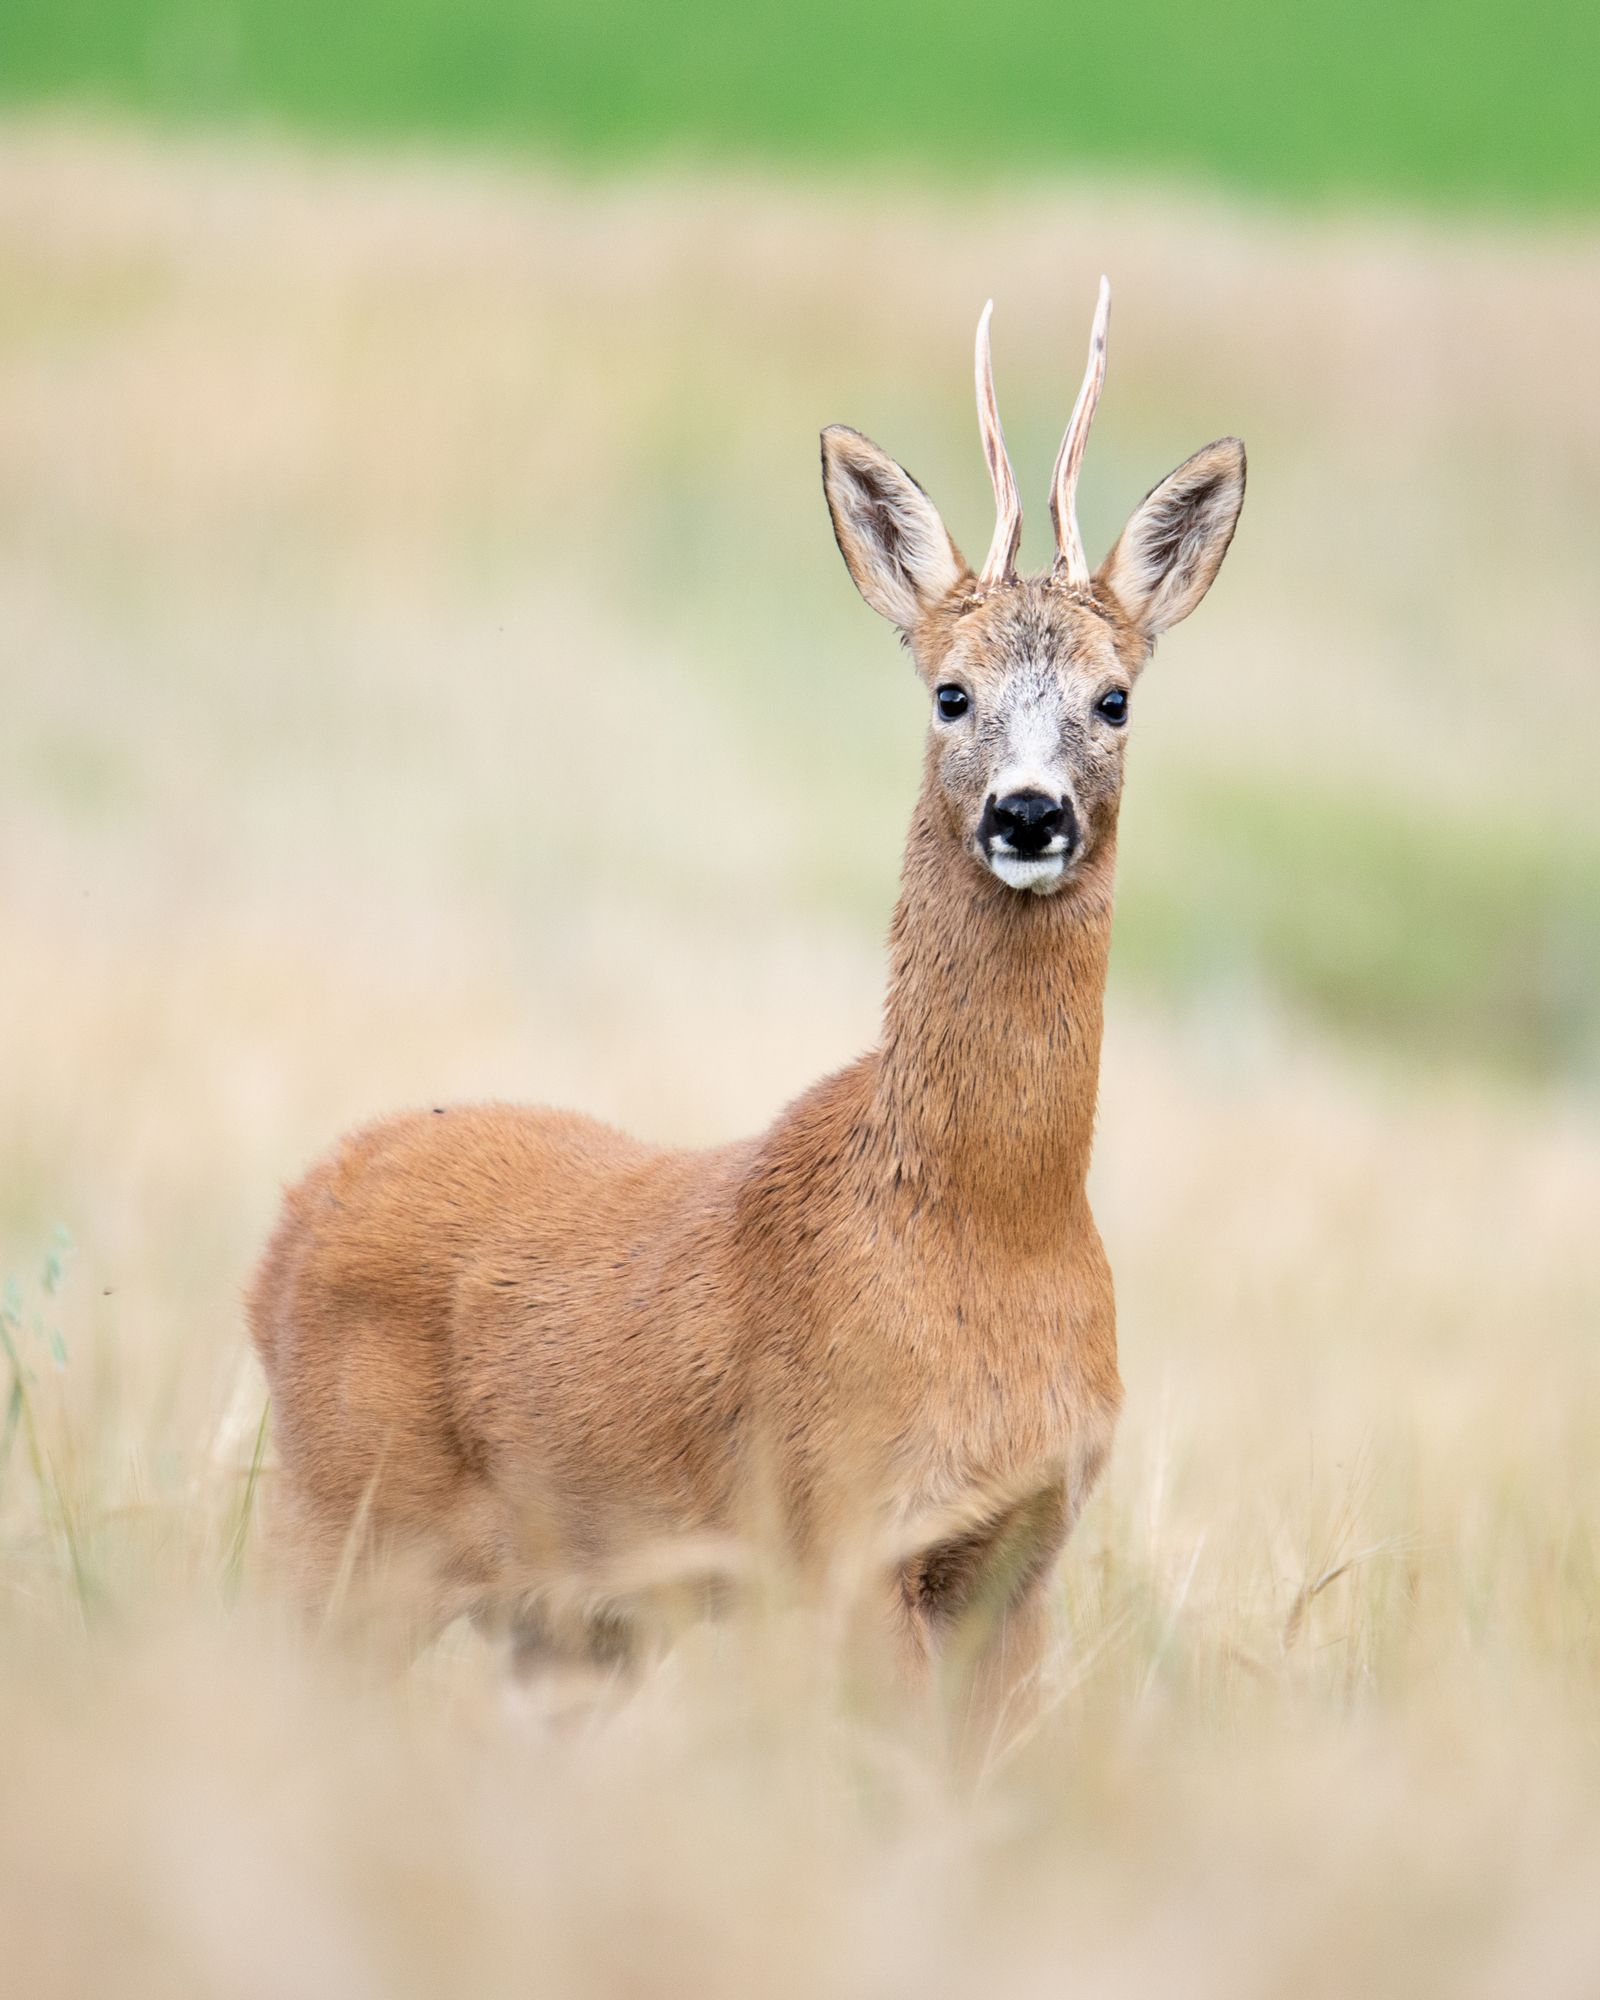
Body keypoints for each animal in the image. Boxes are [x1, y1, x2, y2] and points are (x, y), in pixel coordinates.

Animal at [248, 281, 1245, 1756]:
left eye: (1113, 698)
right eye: (948, 691)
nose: (1027, 813)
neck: (987, 1229)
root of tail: (290, 1218)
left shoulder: (1019, 1556)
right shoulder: (836, 1524)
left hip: (564, 1622)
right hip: (341, 1529)